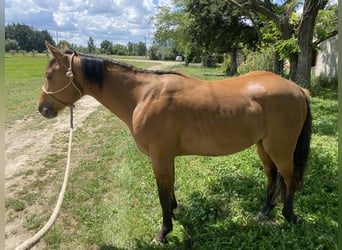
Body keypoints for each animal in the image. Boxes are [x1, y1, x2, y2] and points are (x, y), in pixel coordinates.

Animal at [38, 42, 312, 243]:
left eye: (50, 75)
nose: (42, 109)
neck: (143, 96)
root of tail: (297, 89)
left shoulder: (159, 157)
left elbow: (162, 194)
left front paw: (163, 232)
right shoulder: (166, 156)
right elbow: (170, 188)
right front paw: (173, 212)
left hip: (280, 148)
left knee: (289, 178)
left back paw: (290, 216)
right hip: (263, 146)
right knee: (272, 175)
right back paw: (265, 211)